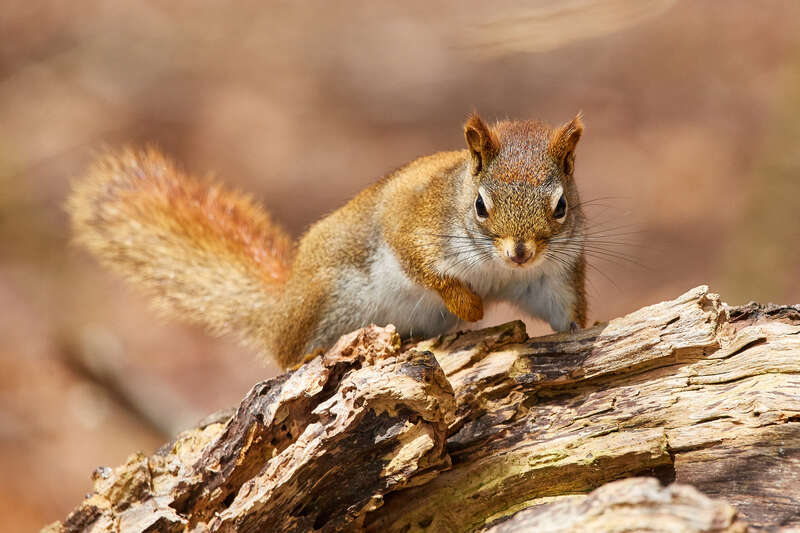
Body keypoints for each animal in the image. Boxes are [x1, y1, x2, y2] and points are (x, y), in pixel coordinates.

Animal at [68, 112, 587, 370]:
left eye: (561, 206)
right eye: (481, 206)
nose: (520, 252)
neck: (498, 269)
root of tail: (281, 310)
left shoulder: (552, 274)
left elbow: (564, 307)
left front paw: (584, 328)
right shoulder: (413, 217)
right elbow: (419, 259)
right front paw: (469, 305)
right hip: (329, 299)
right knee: (287, 356)